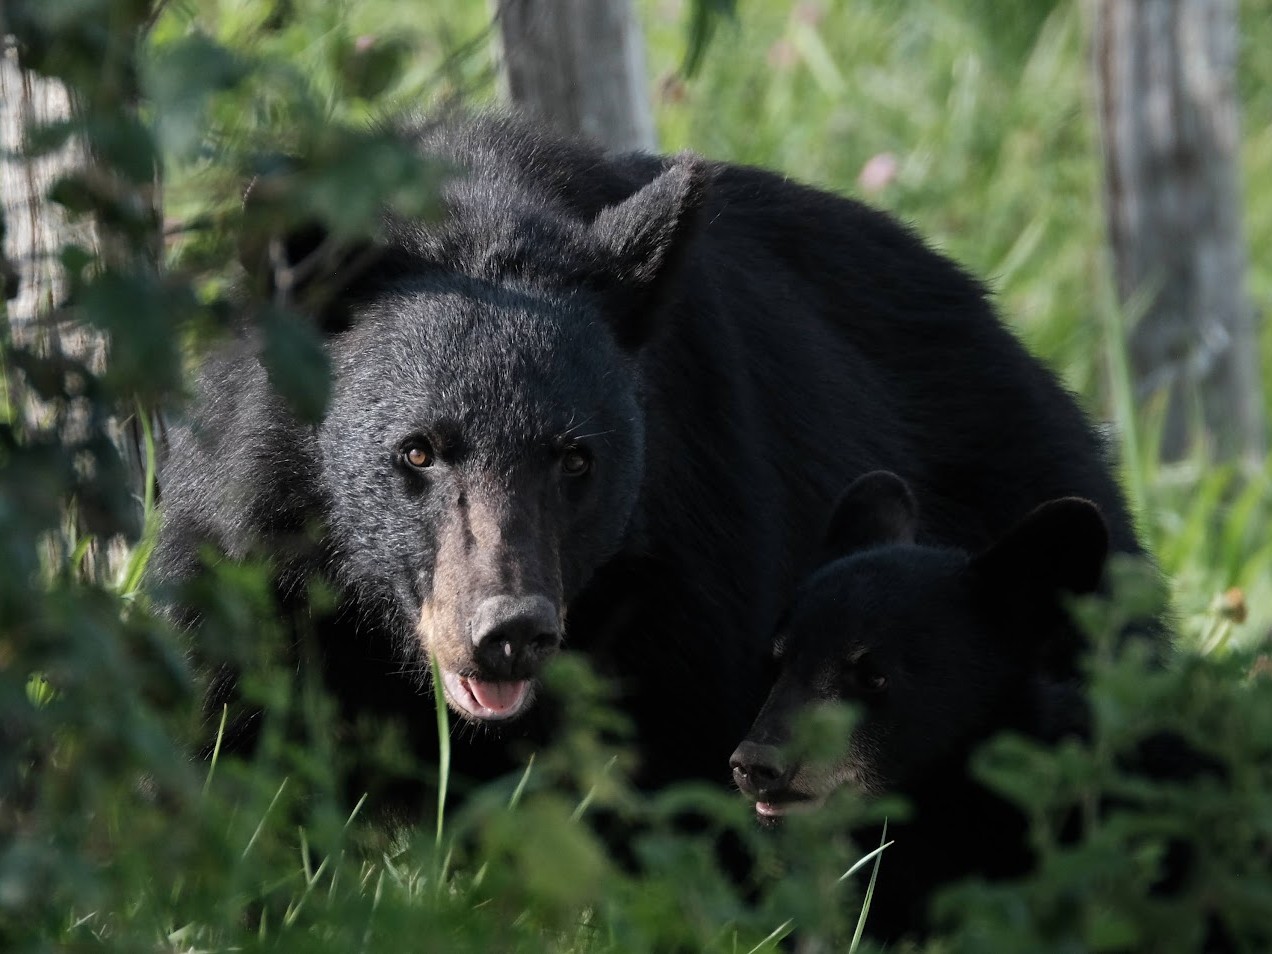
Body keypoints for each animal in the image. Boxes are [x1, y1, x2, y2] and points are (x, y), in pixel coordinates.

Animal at [149, 114, 1147, 810]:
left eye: (575, 459)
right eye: (417, 451)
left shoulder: (694, 566)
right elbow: (230, 741)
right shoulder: (246, 551)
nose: (508, 632)